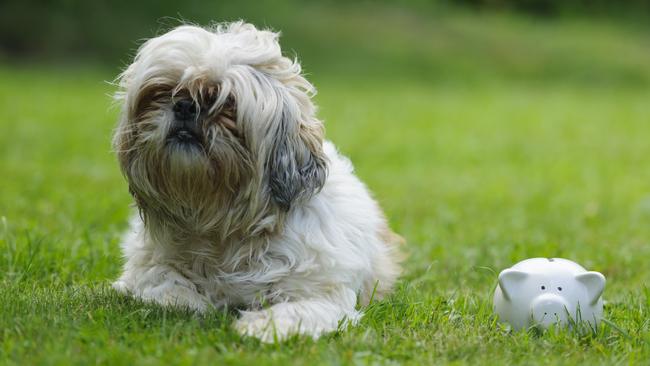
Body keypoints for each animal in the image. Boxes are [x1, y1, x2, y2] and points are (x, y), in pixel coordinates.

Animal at [112, 21, 404, 342]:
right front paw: (190, 303)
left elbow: (295, 309)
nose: (185, 106)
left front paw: (260, 325)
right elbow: (163, 282)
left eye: (226, 102)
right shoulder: (146, 268)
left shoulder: (321, 293)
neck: (224, 227)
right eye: (163, 92)